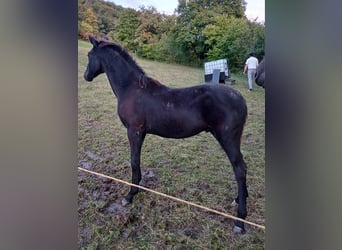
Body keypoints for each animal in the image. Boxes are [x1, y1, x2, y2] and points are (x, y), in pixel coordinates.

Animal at [83, 36, 248, 233]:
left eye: (89, 55)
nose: (86, 76)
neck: (132, 89)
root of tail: (240, 98)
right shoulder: (141, 133)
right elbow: (137, 160)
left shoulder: (134, 131)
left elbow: (134, 161)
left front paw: (130, 195)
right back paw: (239, 200)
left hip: (228, 139)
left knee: (239, 169)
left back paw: (240, 220)